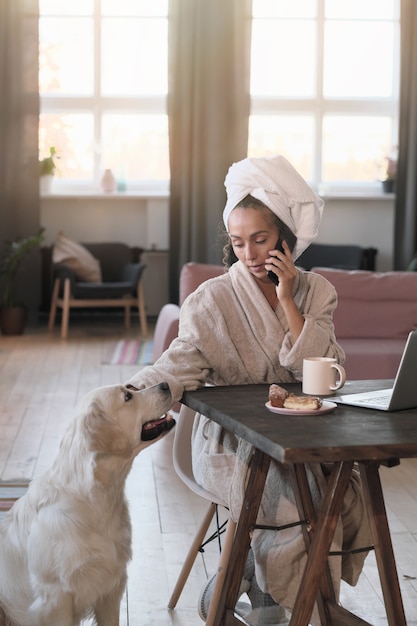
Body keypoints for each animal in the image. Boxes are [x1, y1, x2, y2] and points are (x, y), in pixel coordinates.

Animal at [0, 380, 174, 624]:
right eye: (127, 396)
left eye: (131, 387)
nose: (165, 384)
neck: (94, 499)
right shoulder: (55, 600)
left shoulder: (110, 588)